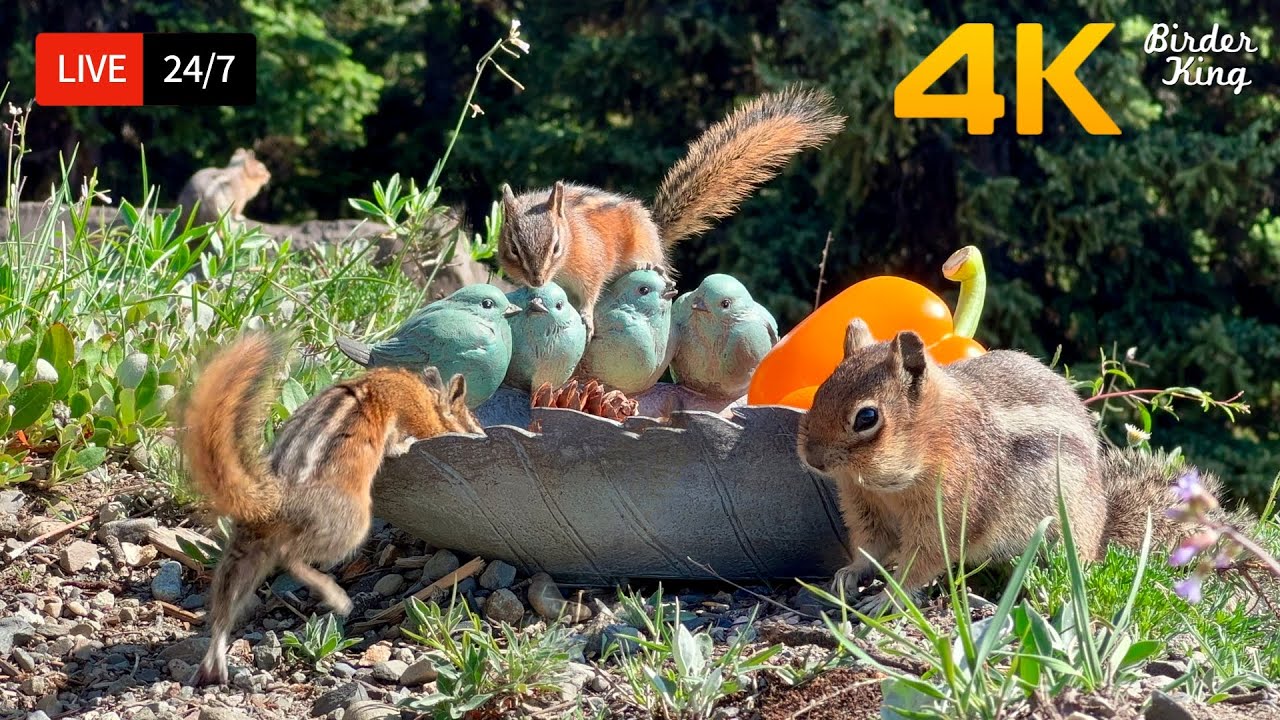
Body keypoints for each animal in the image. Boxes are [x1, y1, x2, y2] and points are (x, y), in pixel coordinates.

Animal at [180, 332, 482, 686]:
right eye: (473, 426)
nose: (482, 436)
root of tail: (272, 499)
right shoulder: (412, 411)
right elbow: (403, 439)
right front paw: (407, 444)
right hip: (350, 525)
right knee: (292, 559)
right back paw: (336, 597)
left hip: (245, 549)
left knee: (226, 602)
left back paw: (213, 662)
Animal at [497, 86, 846, 338]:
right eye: (513, 248)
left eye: (556, 246)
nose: (538, 278)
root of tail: (657, 233)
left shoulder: (592, 265)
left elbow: (591, 293)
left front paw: (586, 315)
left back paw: (647, 263)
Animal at [798, 318, 1241, 616]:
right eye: (819, 391)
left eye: (867, 418)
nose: (812, 458)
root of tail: (1100, 533)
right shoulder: (866, 507)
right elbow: (869, 547)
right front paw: (849, 573)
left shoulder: (949, 511)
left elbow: (921, 562)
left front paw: (886, 597)